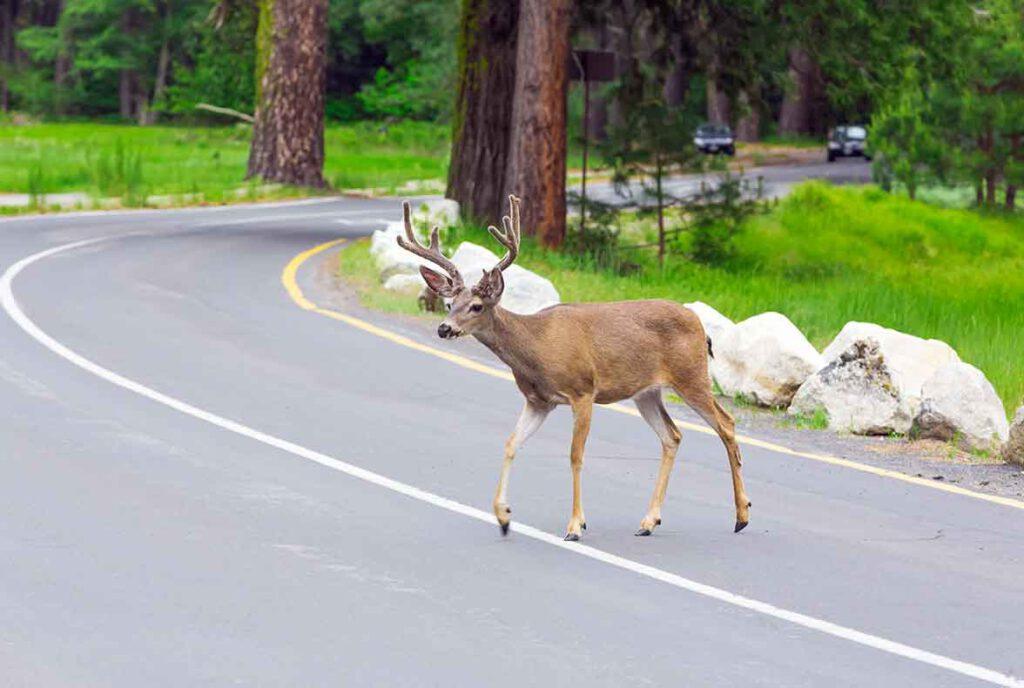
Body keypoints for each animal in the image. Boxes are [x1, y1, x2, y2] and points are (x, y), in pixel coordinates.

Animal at [397, 196, 753, 540]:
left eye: (476, 306)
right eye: (449, 303)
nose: (444, 328)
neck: (537, 348)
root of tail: (701, 326)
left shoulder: (583, 391)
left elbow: (575, 455)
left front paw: (575, 526)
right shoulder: (538, 401)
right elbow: (511, 443)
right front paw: (503, 517)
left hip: (691, 375)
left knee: (726, 424)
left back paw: (742, 516)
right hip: (646, 392)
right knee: (673, 435)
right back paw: (649, 521)